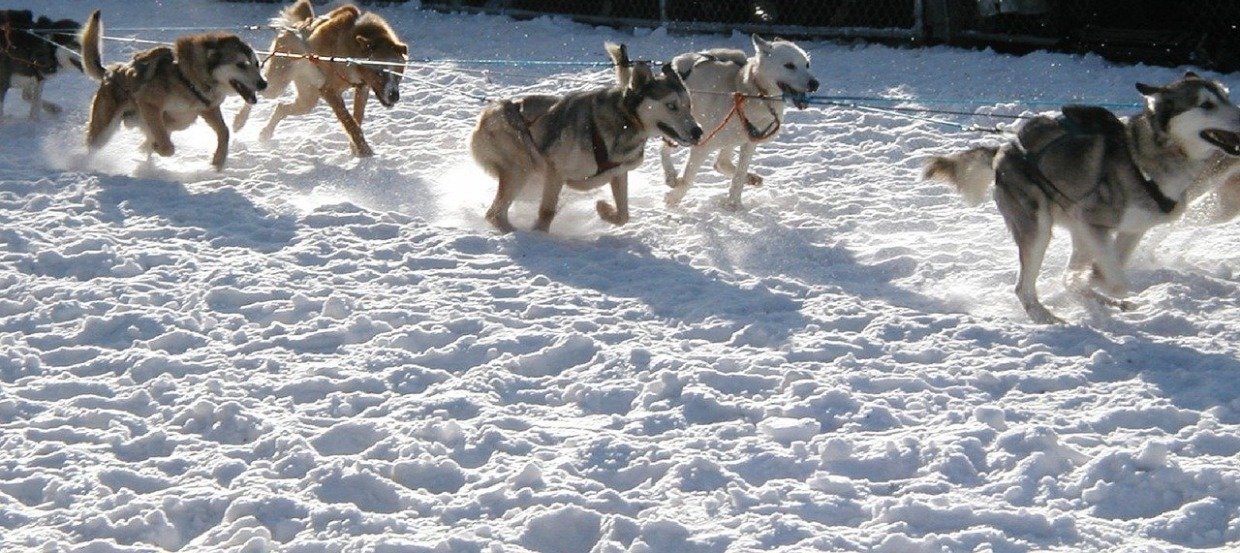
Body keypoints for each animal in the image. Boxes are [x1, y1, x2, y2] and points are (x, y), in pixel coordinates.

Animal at [80, 9, 266, 168]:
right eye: (241, 64)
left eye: (257, 64)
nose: (264, 84)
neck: (187, 78)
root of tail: (110, 72)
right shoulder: (150, 105)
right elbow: (167, 147)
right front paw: (158, 147)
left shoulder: (208, 109)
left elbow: (224, 131)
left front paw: (219, 159)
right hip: (105, 129)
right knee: (93, 146)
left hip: (182, 121)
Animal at [236, 0, 416, 156]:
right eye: (380, 72)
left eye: (399, 73)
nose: (394, 96)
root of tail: (292, 28)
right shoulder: (329, 91)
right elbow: (350, 123)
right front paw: (364, 151)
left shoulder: (362, 89)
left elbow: (357, 120)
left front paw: (355, 147)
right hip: (277, 85)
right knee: (257, 91)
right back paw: (239, 121)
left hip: (307, 99)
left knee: (281, 107)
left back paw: (266, 133)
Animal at [471, 43, 709, 233]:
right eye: (671, 106)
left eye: (689, 106)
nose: (698, 131)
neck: (625, 122)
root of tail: (489, 112)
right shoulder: (556, 172)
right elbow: (547, 211)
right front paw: (539, 235)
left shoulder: (619, 173)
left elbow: (623, 215)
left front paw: (604, 209)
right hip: (521, 168)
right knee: (494, 213)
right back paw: (515, 233)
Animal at [659, 33, 823, 209]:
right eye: (789, 65)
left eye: (807, 64)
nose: (815, 83)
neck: (750, 92)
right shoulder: (703, 145)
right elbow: (688, 178)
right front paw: (674, 197)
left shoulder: (749, 143)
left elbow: (739, 174)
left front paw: (734, 204)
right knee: (664, 148)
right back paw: (671, 175)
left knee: (721, 162)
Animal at [927, 73, 1240, 324]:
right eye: (1206, 105)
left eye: (1226, 97)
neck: (1143, 160)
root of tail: (1006, 149)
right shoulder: (1091, 223)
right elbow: (1114, 278)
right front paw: (1100, 282)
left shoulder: (1130, 230)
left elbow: (1105, 268)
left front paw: (1093, 282)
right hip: (1039, 227)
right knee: (1024, 288)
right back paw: (1046, 317)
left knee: (1067, 278)